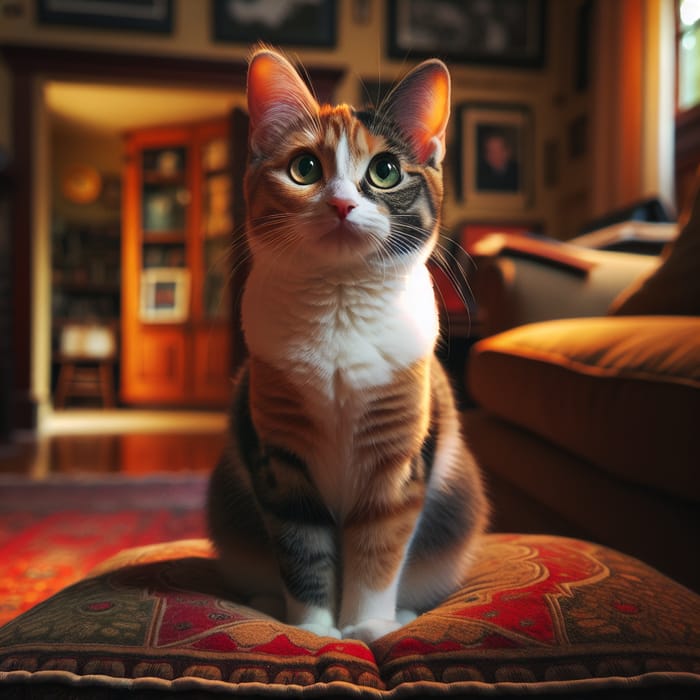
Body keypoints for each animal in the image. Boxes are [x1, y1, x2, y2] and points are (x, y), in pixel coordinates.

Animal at [209, 46, 486, 644]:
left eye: (384, 171)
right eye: (305, 168)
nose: (340, 204)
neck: (340, 305)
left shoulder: (397, 460)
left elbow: (378, 549)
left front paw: (368, 626)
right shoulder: (281, 456)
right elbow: (302, 550)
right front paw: (314, 630)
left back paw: (402, 616)